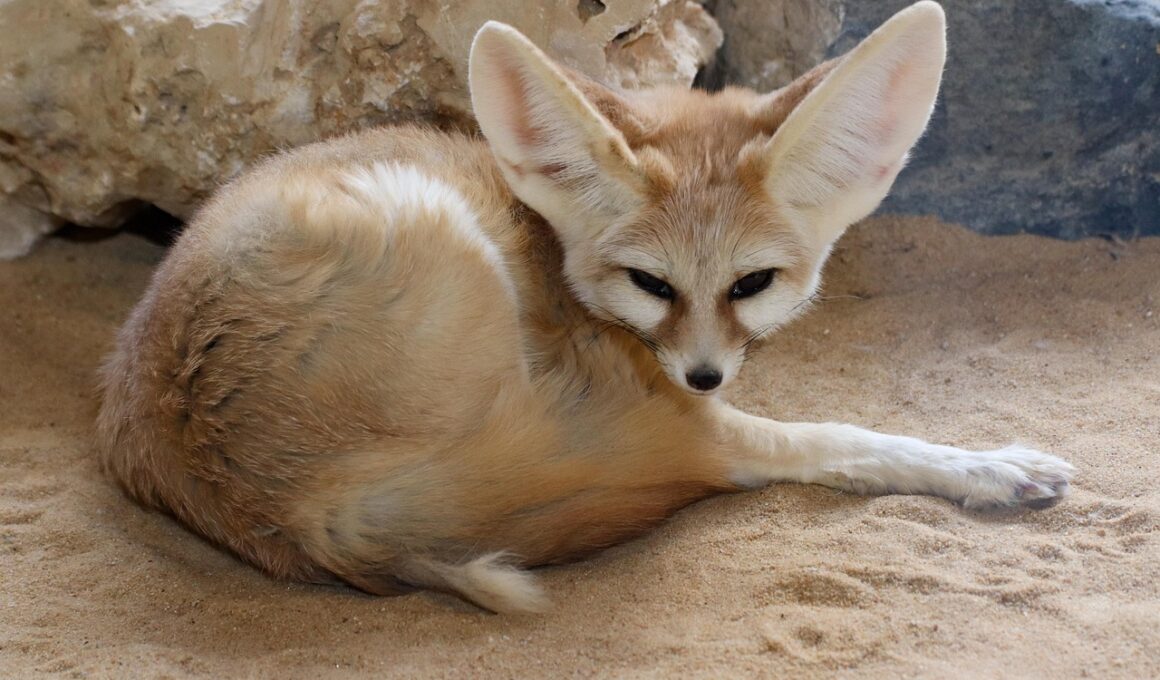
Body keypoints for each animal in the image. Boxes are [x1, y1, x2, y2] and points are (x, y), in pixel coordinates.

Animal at [94, 1, 1073, 613]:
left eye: (751, 285)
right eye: (652, 285)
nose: (704, 374)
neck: (548, 240)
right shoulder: (687, 409)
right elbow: (851, 440)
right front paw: (985, 465)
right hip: (441, 232)